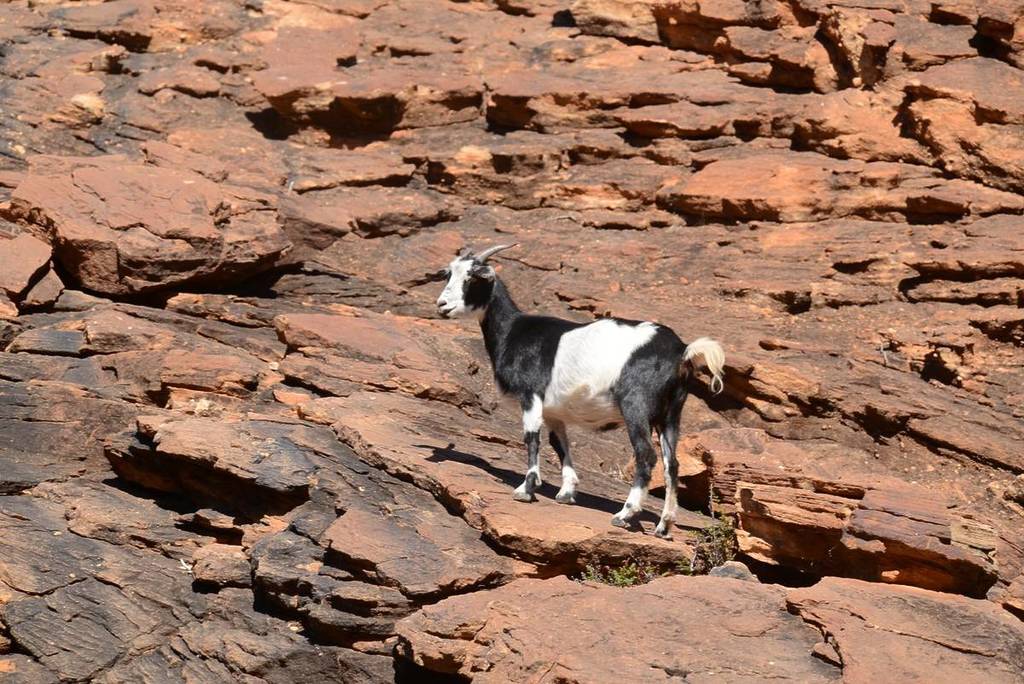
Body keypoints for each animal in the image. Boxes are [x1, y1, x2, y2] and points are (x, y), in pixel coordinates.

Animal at [436, 244, 725, 539]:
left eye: (472, 278)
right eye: (449, 274)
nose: (442, 305)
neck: (513, 331)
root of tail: (682, 350)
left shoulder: (531, 394)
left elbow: (531, 437)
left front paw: (526, 489)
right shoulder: (554, 410)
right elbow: (559, 442)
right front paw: (566, 492)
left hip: (636, 405)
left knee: (646, 455)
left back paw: (625, 514)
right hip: (671, 414)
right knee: (672, 465)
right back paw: (664, 525)